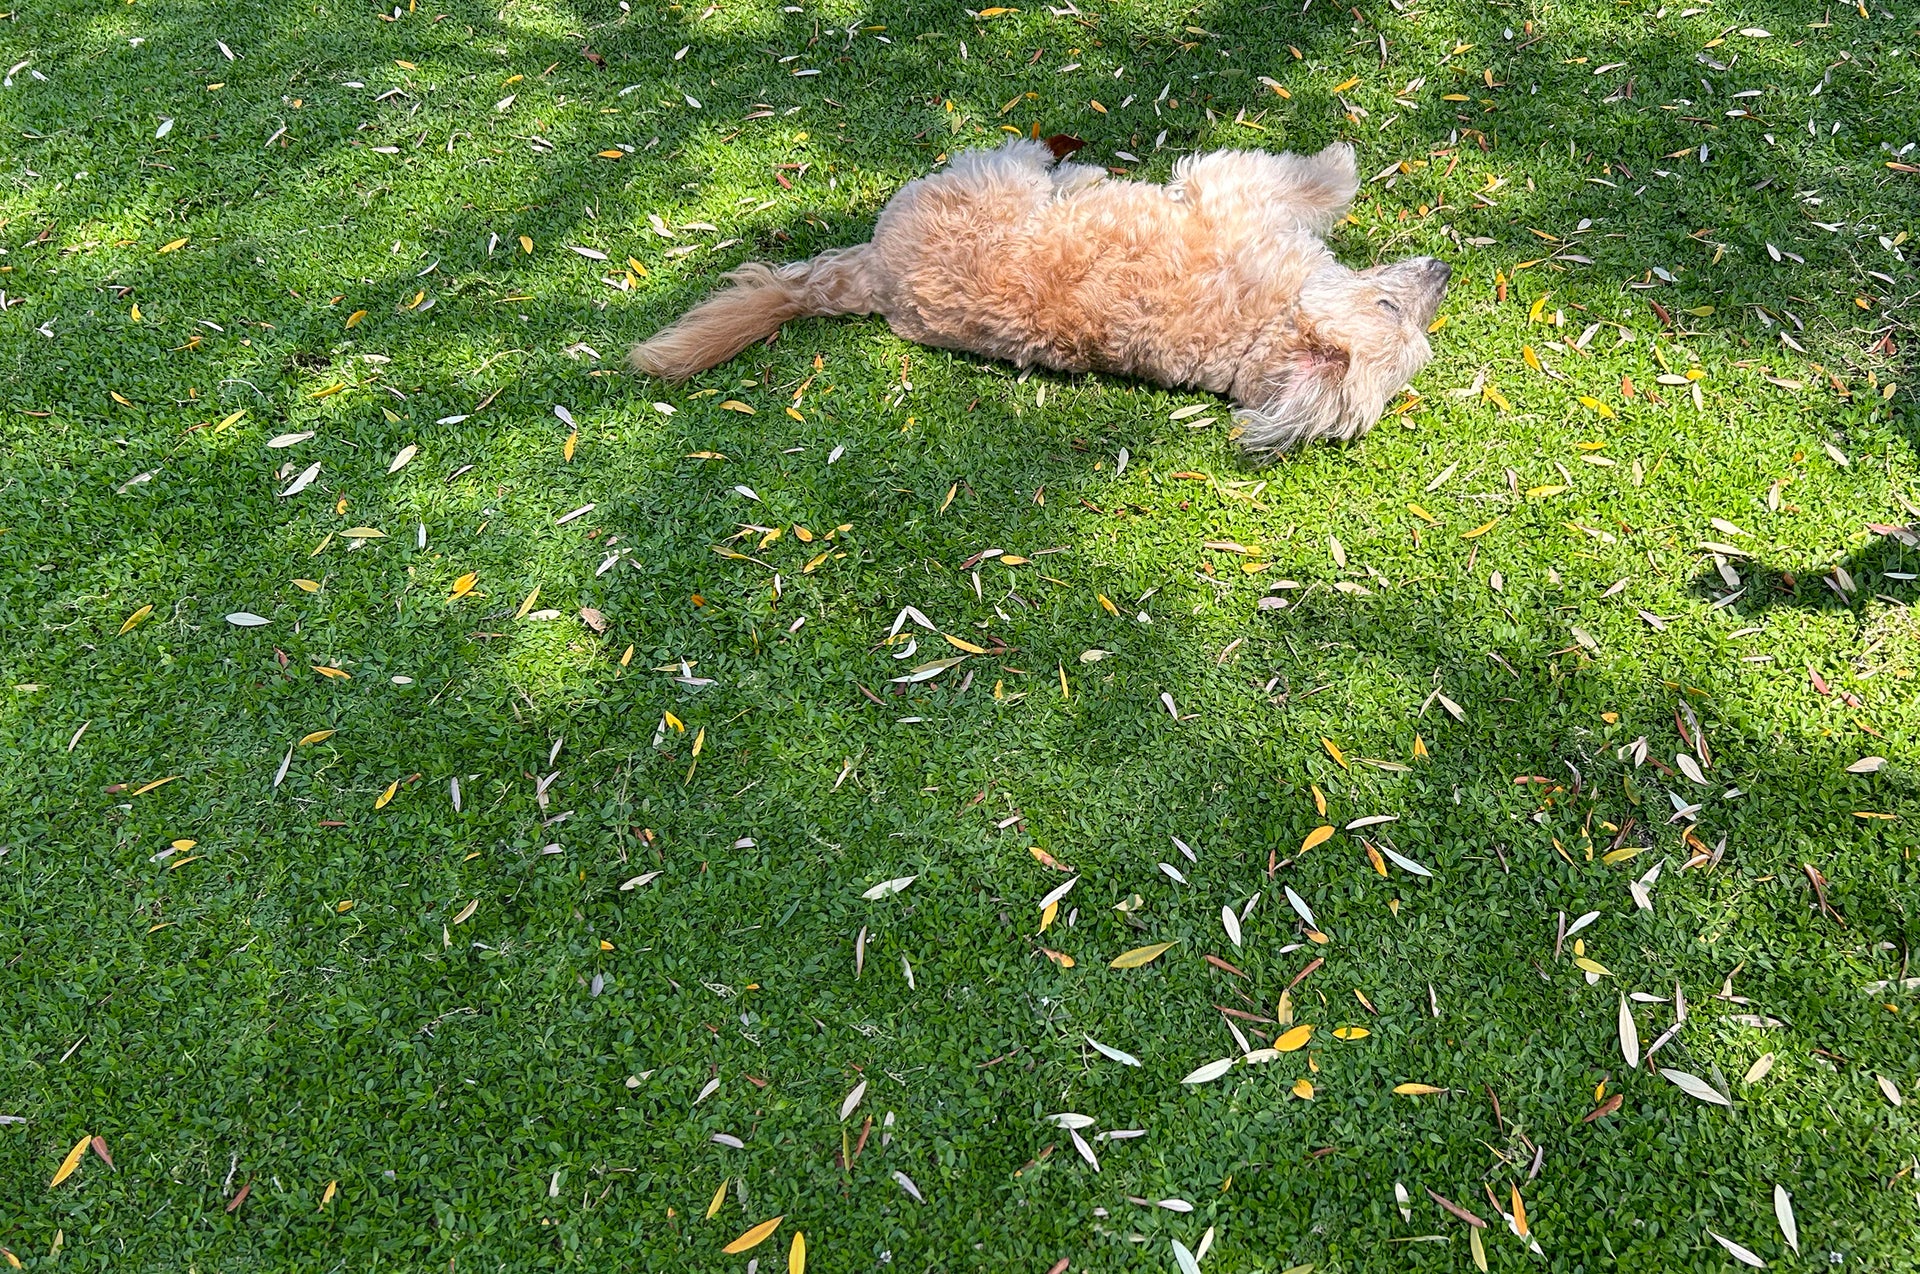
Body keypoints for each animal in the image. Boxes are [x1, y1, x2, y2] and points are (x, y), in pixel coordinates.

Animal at [637, 139, 1443, 454]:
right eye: (1389, 309)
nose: (1442, 274)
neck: (1261, 331)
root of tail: (873, 277)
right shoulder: (1231, 187)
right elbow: (1319, 181)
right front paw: (1340, 163)